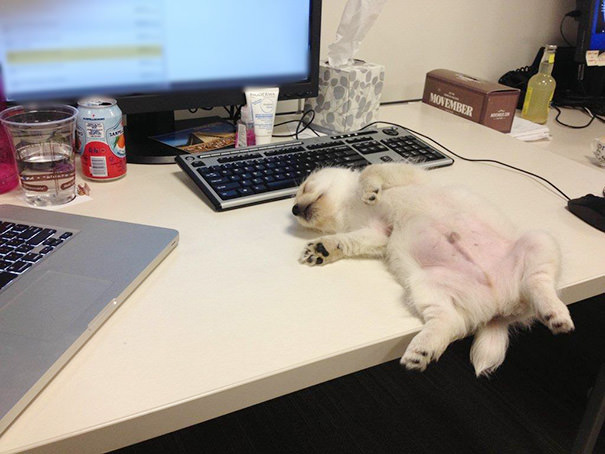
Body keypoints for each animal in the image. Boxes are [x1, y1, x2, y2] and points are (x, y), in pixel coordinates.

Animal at [292, 163, 576, 376]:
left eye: (305, 187)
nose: (294, 209)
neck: (349, 205)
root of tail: (502, 308)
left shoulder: (404, 174)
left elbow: (372, 169)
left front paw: (369, 189)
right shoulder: (376, 233)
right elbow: (347, 241)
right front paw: (323, 249)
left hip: (539, 241)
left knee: (538, 281)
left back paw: (556, 313)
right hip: (426, 284)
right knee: (450, 321)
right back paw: (422, 350)